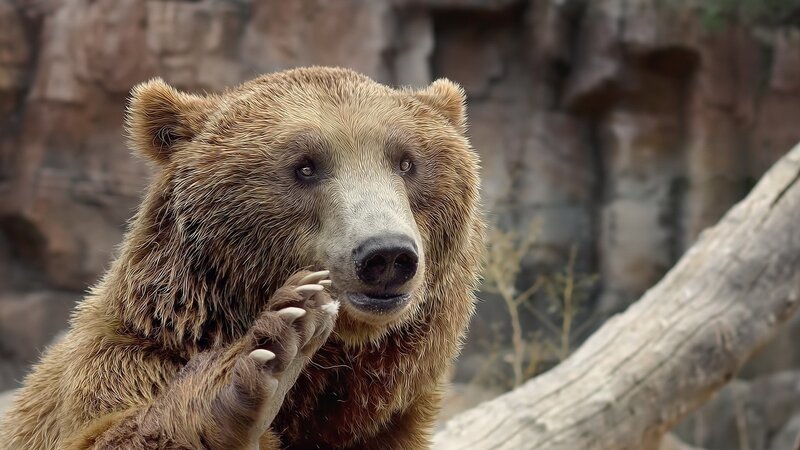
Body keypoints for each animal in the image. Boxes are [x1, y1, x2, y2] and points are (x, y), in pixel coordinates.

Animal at [0, 67, 484, 449]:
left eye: (406, 162)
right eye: (304, 166)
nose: (385, 254)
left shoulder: (390, 423)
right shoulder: (122, 361)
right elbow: (109, 432)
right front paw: (271, 348)